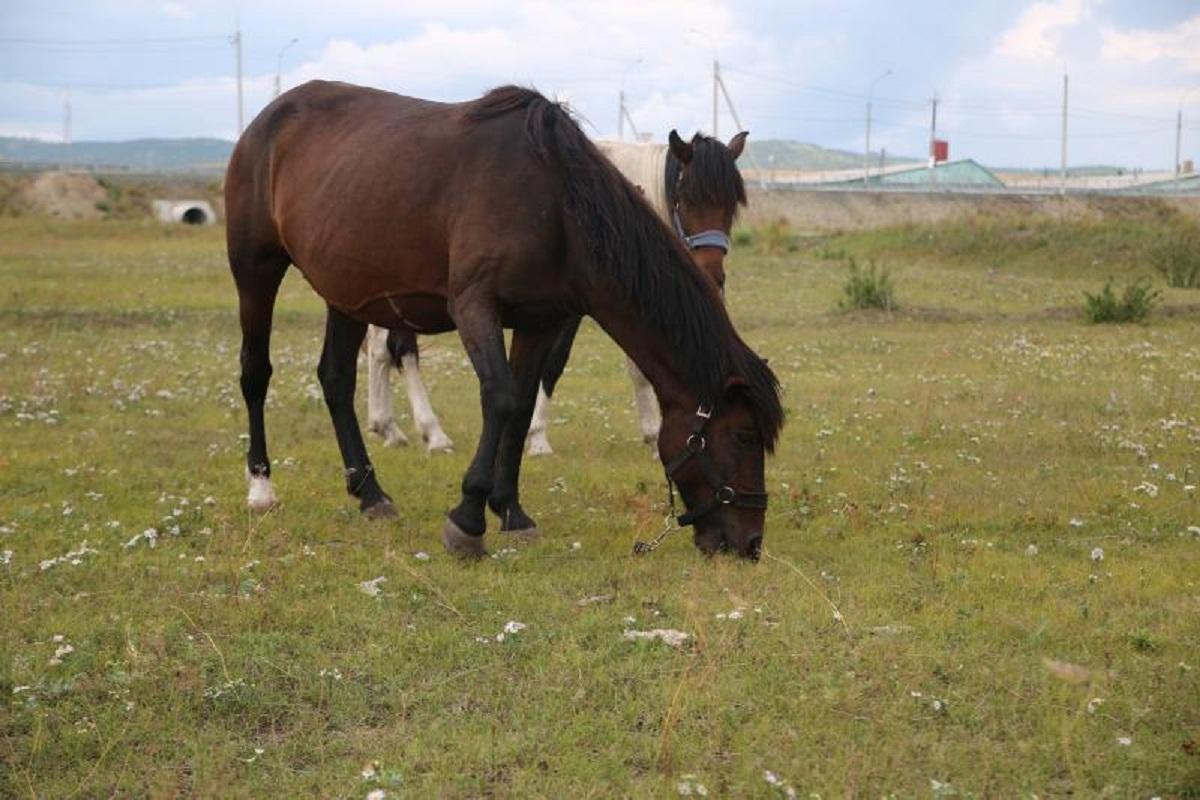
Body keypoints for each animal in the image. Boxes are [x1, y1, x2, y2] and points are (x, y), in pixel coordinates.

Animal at [360, 131, 744, 455]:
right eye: (687, 198)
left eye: (732, 205)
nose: (713, 275)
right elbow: (553, 364)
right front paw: (537, 437)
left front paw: (651, 436)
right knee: (400, 349)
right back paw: (432, 433)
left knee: (380, 349)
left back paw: (387, 426)